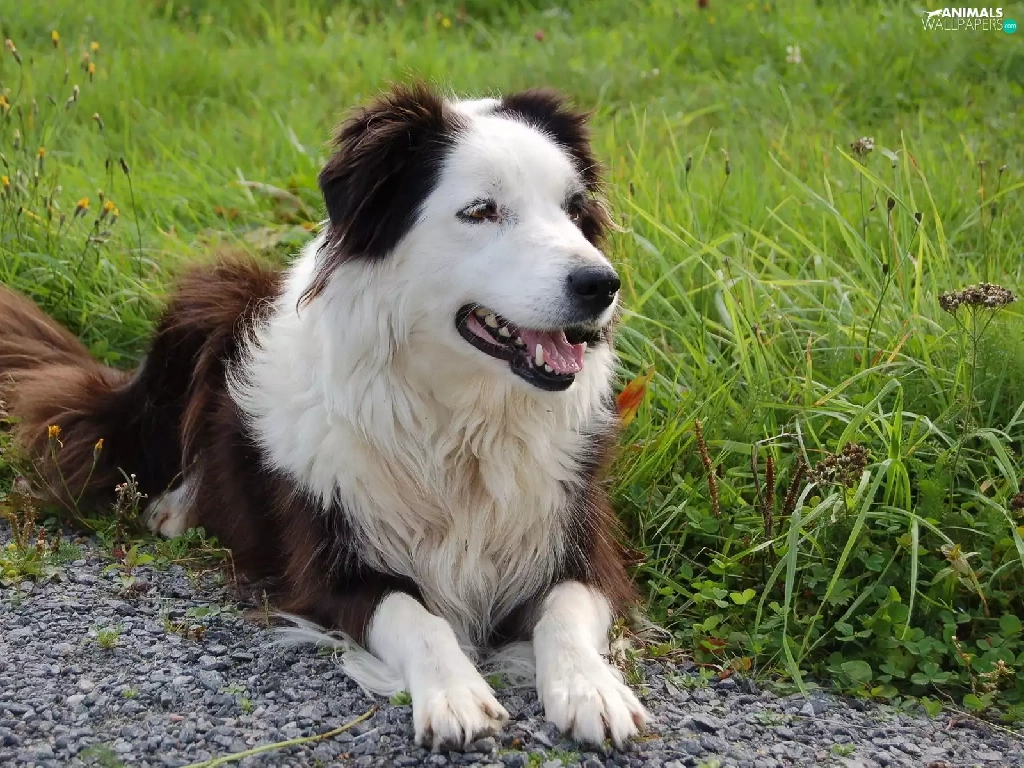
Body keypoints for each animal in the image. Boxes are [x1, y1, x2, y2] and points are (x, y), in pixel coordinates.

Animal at [0, 83, 649, 751]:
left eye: (573, 209)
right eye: (481, 211)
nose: (602, 284)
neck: (461, 424)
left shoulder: (576, 538)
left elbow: (566, 611)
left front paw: (591, 688)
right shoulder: (332, 564)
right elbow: (415, 616)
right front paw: (455, 692)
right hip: (204, 299)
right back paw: (175, 506)